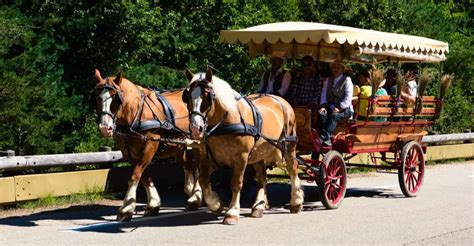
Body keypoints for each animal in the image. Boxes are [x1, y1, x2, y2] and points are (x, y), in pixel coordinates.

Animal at [94, 69, 202, 221]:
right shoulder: (129, 153)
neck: (136, 114)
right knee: (190, 166)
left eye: (116, 98)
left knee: (197, 167)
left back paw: (196, 196)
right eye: (98, 98)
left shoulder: (150, 146)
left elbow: (135, 176)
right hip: (178, 148)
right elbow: (144, 177)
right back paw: (192, 195)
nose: (105, 128)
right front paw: (153, 205)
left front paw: (126, 209)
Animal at [181, 68, 304, 225]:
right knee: (262, 178)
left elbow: (236, 183)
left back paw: (296, 201)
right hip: (259, 153)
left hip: (289, 146)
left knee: (292, 169)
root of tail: (282, 101)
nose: (196, 128)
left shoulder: (241, 157)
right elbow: (203, 180)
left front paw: (232, 212)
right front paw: (216, 204)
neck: (225, 122)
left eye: (208, 95)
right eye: (187, 96)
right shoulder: (210, 158)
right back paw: (258, 207)